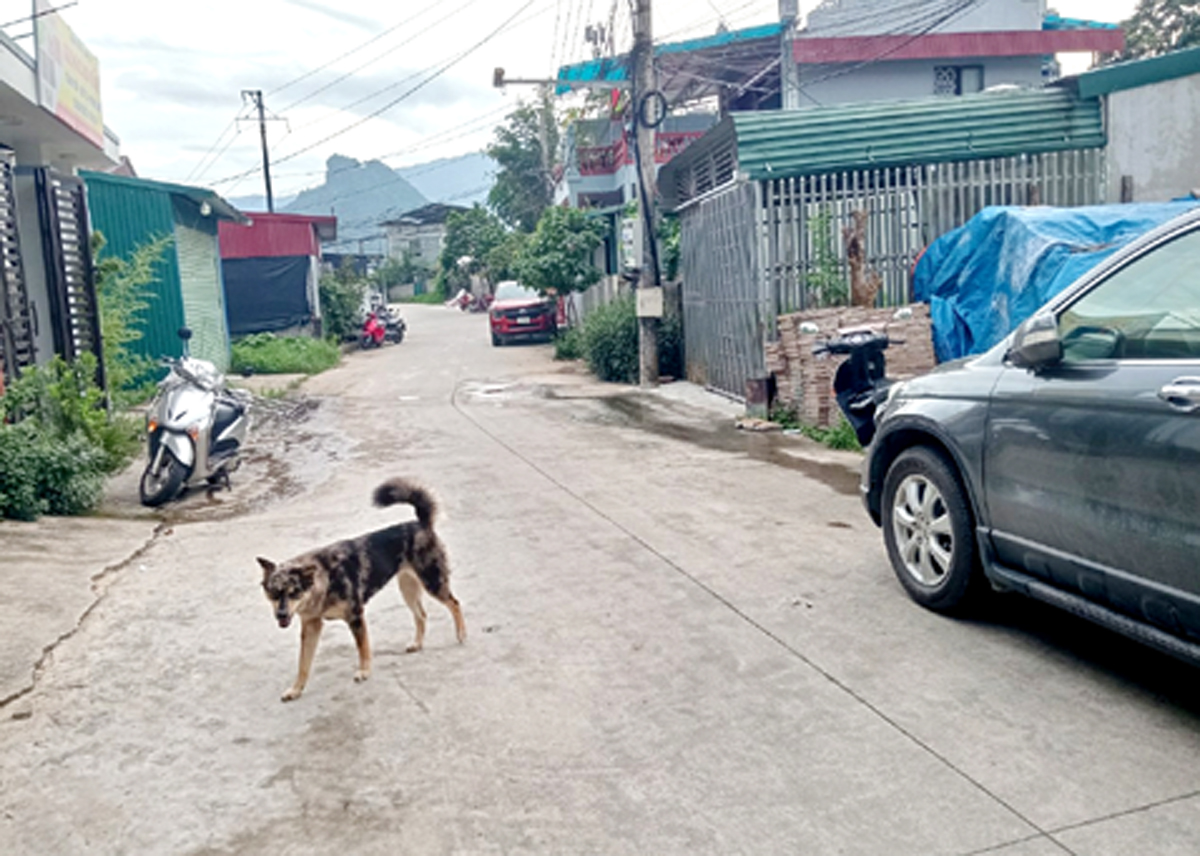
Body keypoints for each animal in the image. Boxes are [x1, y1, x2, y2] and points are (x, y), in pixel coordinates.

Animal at [258, 477, 463, 696]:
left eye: (294, 593)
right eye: (273, 594)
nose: (281, 615)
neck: (324, 581)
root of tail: (421, 523)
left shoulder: (355, 617)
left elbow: (362, 648)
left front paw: (364, 671)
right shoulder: (311, 626)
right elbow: (303, 663)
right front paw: (296, 689)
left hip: (433, 582)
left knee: (455, 604)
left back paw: (461, 634)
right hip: (407, 588)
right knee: (421, 615)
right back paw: (417, 643)